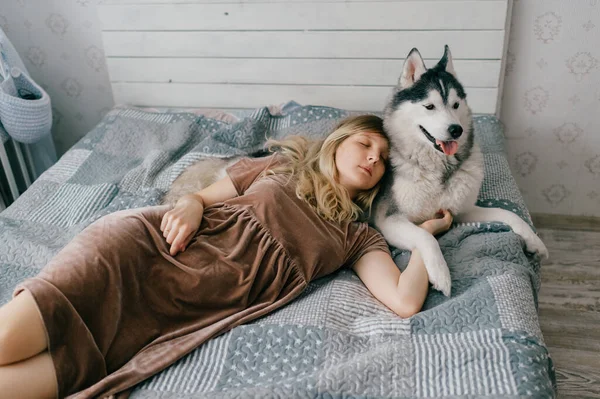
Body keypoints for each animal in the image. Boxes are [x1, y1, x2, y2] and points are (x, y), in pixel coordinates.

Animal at [376, 47, 548, 296]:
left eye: (456, 105)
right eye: (429, 106)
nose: (456, 130)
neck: (438, 170)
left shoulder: (461, 211)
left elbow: (508, 213)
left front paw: (534, 240)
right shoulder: (388, 219)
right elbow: (426, 236)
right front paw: (441, 274)